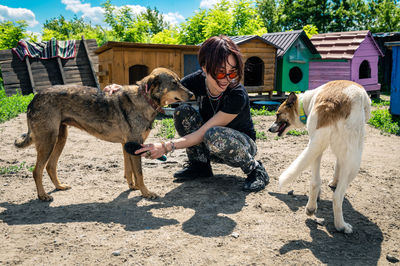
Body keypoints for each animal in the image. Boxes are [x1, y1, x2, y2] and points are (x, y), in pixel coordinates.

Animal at [16, 67, 195, 201]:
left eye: (180, 81)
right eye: (174, 83)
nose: (192, 94)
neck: (145, 99)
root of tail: (34, 99)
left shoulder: (127, 146)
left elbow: (129, 171)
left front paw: (133, 187)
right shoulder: (136, 146)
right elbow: (139, 173)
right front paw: (146, 193)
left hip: (60, 138)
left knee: (50, 166)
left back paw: (59, 187)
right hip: (48, 141)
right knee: (37, 170)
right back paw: (43, 195)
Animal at [270, 80, 370, 234]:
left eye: (278, 114)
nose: (269, 129)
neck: (306, 103)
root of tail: (331, 105)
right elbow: (338, 165)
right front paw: (334, 181)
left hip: (316, 146)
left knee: (315, 182)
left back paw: (311, 208)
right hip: (355, 159)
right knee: (337, 196)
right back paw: (342, 226)